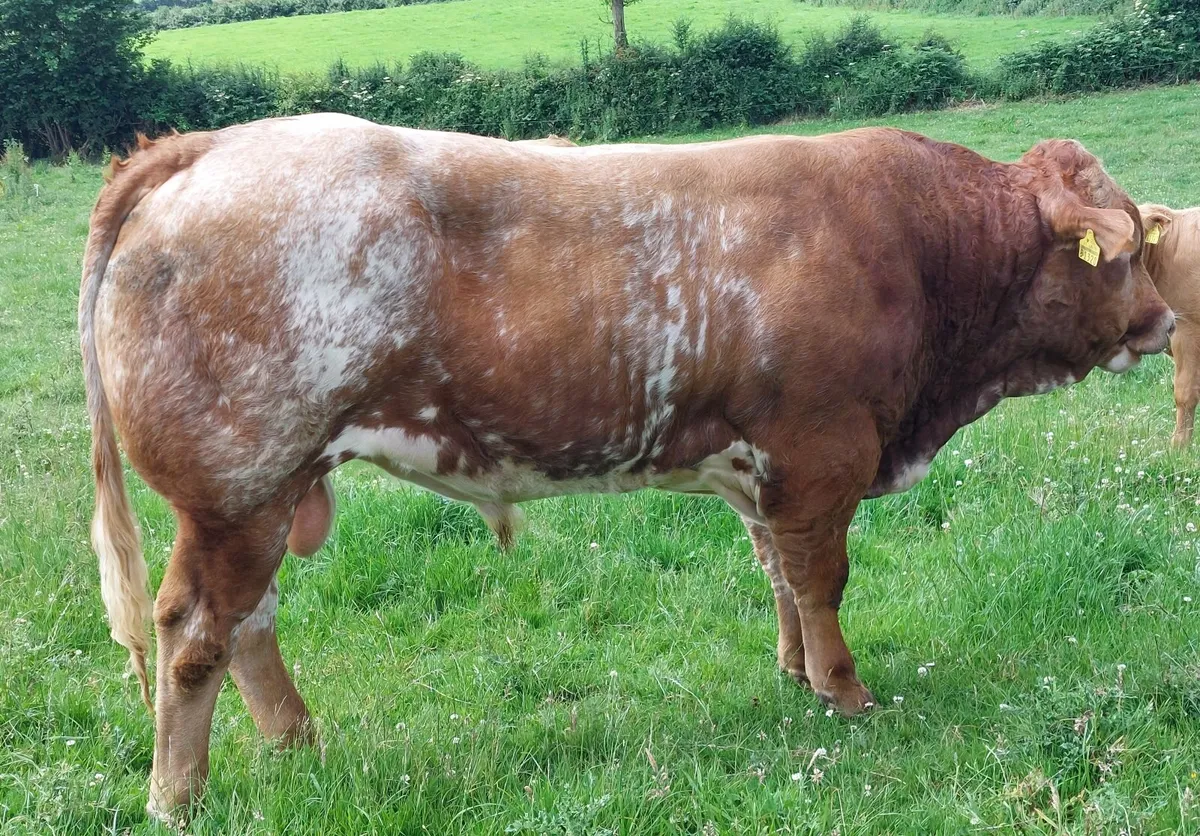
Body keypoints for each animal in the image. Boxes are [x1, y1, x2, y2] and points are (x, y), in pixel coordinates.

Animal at [80, 114, 1174, 819]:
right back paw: (178, 795)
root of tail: (210, 145)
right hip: (239, 487)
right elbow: (823, 578)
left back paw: (297, 742)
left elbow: (780, 575)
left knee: (250, 625)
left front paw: (793, 670)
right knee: (194, 634)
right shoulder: (824, 452)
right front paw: (844, 689)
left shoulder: (760, 472)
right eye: (1121, 254)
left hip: (272, 489)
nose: (1165, 323)